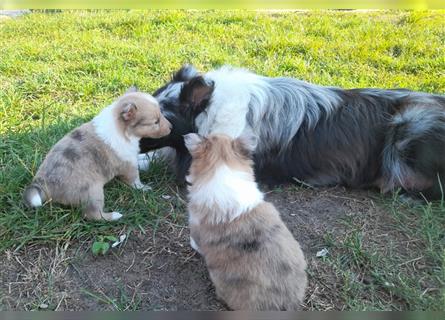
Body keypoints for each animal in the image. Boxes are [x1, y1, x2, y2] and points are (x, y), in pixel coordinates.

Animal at [23, 87, 171, 221]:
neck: (122, 129)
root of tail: (42, 184)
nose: (171, 127)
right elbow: (135, 180)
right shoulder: (128, 165)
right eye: (156, 122)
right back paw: (115, 215)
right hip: (93, 193)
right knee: (93, 215)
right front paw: (144, 188)